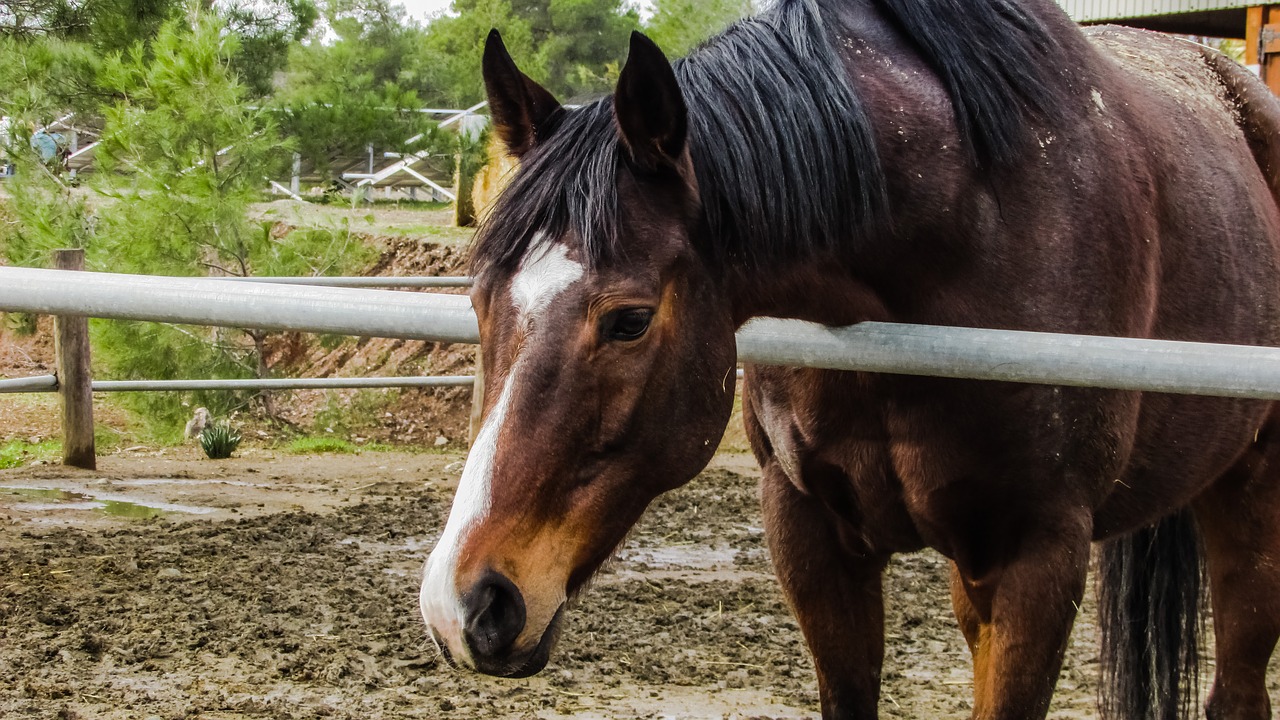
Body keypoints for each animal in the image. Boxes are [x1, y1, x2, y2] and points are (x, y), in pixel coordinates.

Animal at [419, 2, 1280, 712]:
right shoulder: (808, 529)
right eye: (478, 301)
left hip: (1249, 504)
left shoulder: (1041, 553)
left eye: (629, 321)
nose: (464, 606)